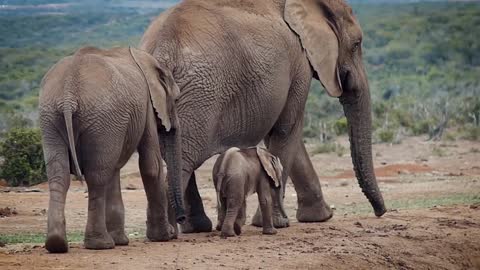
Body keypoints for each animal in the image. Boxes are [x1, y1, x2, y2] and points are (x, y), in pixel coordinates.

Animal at [39, 47, 185, 253]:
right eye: (177, 98)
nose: (181, 219)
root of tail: (68, 94)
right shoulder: (146, 105)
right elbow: (151, 164)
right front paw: (163, 237)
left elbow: (115, 167)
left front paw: (121, 241)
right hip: (101, 116)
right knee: (97, 177)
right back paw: (101, 244)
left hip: (52, 117)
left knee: (60, 175)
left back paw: (57, 245)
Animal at [141, 0, 388, 232]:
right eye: (356, 44)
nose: (381, 212)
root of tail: (161, 50)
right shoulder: (299, 62)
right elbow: (287, 129)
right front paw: (278, 223)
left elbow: (283, 135)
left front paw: (318, 217)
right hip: (199, 98)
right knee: (185, 159)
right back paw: (168, 233)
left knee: (178, 158)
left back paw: (192, 228)